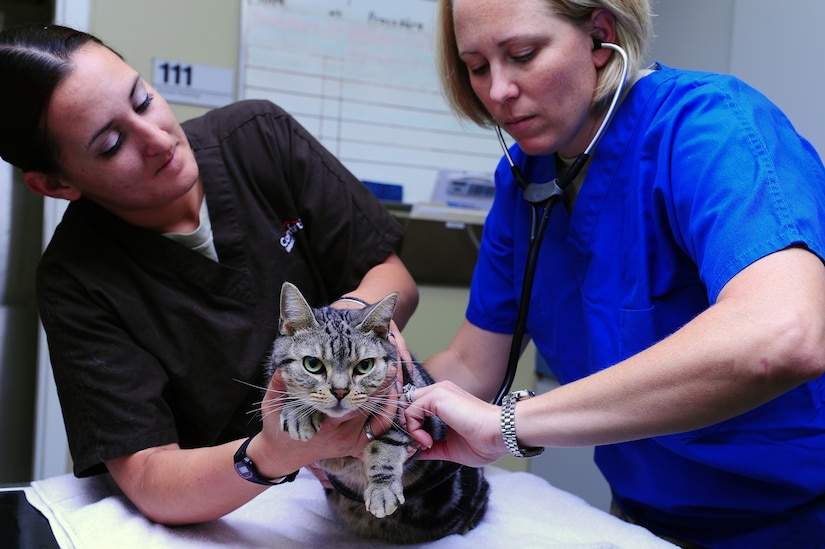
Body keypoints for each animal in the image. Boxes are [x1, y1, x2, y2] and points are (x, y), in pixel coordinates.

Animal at [268, 282, 490, 544]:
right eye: (313, 364)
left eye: (365, 366)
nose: (340, 391)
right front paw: (298, 412)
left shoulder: (405, 414)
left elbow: (384, 446)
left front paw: (382, 491)